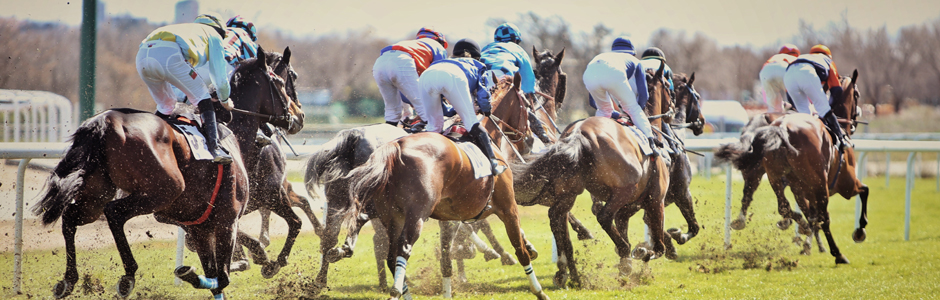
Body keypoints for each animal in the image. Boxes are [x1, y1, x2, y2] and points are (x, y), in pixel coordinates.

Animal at [32, 48, 298, 298]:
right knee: (114, 213)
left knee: (70, 217)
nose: (298, 116)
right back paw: (128, 275)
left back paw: (68, 280)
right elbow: (221, 277)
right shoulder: (226, 221)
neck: (232, 135)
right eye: (284, 81)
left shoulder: (198, 227)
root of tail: (104, 122)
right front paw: (251, 261)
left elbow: (216, 278)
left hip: (95, 195)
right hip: (163, 190)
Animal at [510, 65, 672, 288]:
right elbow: (658, 248)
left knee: (556, 218)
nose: (672, 109)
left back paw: (569, 274)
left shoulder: (626, 210)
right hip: (624, 190)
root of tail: (578, 133)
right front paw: (639, 253)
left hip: (569, 192)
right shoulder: (656, 200)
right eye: (668, 86)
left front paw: (626, 267)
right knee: (603, 216)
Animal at [716, 69, 872, 262]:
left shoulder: (805, 191)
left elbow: (809, 216)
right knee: (823, 217)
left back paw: (744, 221)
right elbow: (864, 191)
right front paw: (859, 231)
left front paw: (807, 240)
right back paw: (837, 253)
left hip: (769, 174)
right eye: (857, 94)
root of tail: (781, 126)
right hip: (820, 186)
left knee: (768, 200)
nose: (856, 118)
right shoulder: (846, 185)